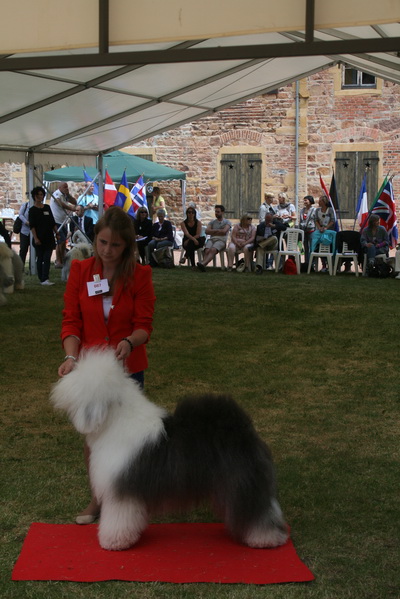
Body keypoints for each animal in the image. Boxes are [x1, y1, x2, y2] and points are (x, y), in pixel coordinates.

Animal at [51, 348, 288, 551]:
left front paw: (113, 542)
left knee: (258, 512)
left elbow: (118, 518)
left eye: (79, 379)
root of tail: (242, 426)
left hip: (241, 482)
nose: (58, 386)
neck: (115, 421)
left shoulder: (121, 490)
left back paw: (265, 539)